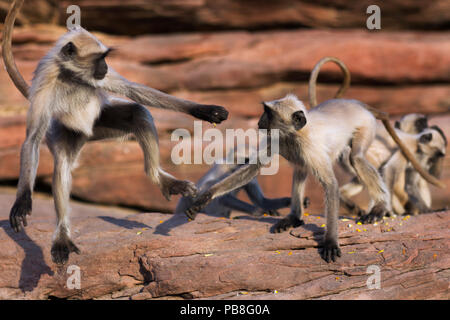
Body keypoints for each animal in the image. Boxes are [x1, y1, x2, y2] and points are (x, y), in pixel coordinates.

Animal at [1, 0, 229, 264]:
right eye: (99, 58)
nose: (106, 66)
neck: (71, 76)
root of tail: (87, 134)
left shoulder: (100, 78)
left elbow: (135, 90)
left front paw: (204, 110)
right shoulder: (46, 82)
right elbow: (32, 140)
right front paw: (22, 200)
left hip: (100, 122)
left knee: (138, 113)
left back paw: (160, 179)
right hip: (66, 132)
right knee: (62, 166)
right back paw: (62, 237)